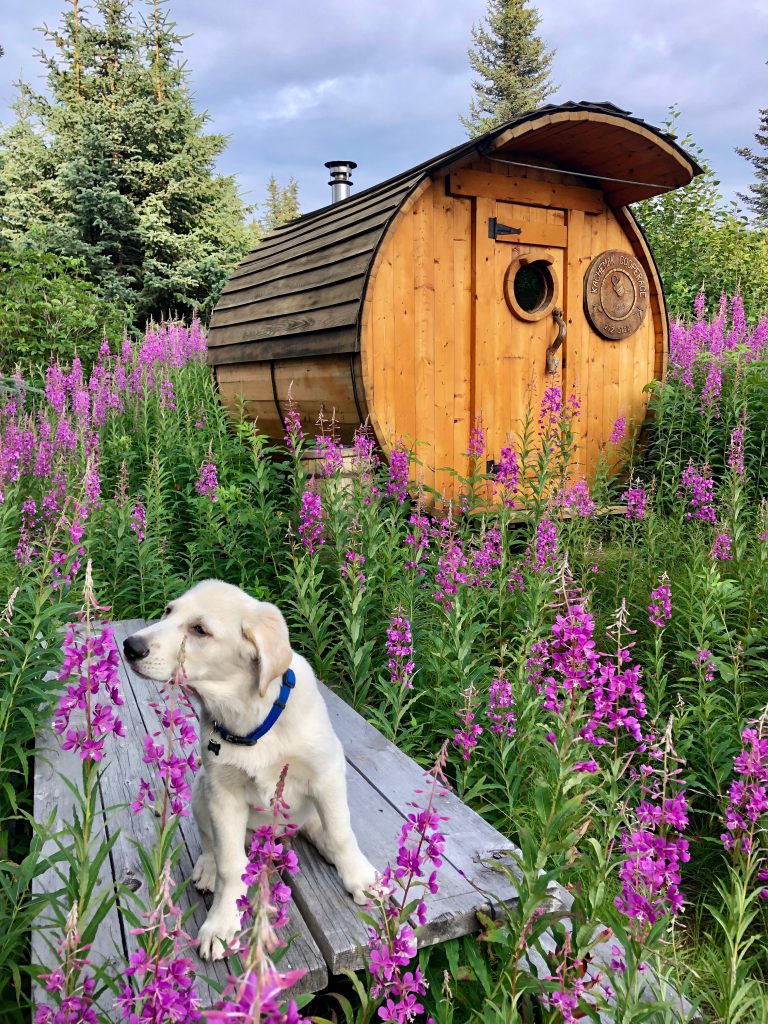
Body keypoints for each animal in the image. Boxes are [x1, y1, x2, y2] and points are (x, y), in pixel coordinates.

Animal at [123, 581, 378, 962]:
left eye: (199, 629)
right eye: (168, 611)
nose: (130, 646)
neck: (248, 713)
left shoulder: (327, 772)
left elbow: (341, 834)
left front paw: (360, 878)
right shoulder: (222, 792)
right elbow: (231, 865)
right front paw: (221, 922)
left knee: (323, 831)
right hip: (200, 791)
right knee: (211, 843)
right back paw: (206, 869)